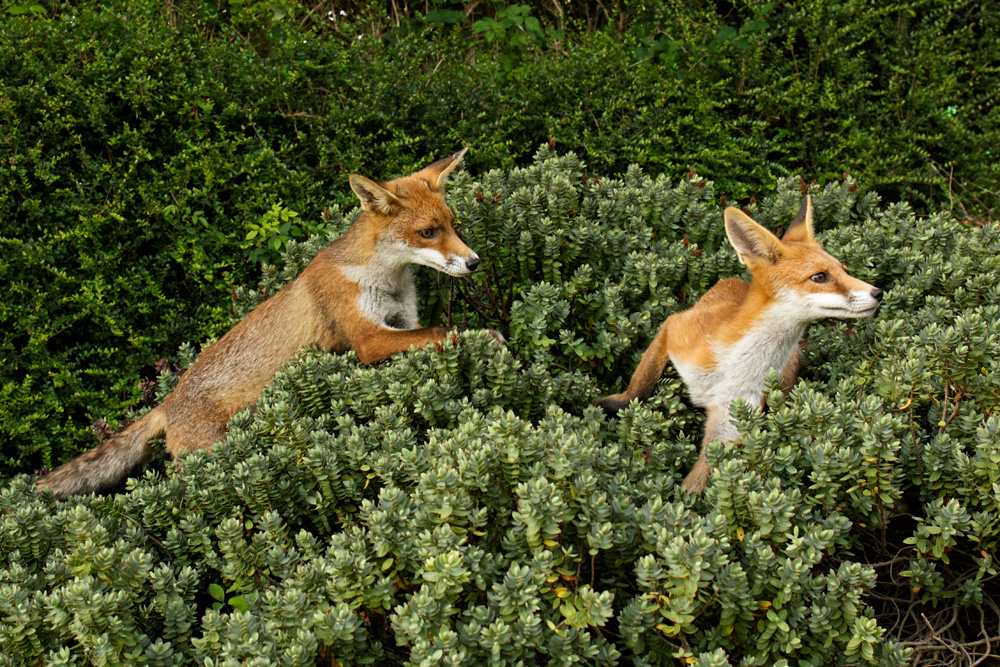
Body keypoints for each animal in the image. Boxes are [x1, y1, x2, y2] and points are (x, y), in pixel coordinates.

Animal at [38, 149, 501, 500]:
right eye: (427, 232)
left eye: (453, 225)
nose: (475, 263)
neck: (381, 279)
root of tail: (169, 401)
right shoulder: (367, 338)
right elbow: (441, 332)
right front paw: (489, 335)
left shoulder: (404, 319)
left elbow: (431, 331)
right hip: (214, 457)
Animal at [596, 196, 882, 494]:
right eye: (820, 277)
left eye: (844, 271)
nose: (879, 293)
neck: (735, 362)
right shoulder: (674, 329)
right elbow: (642, 381)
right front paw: (619, 403)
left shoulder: (732, 416)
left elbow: (696, 485)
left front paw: (682, 504)